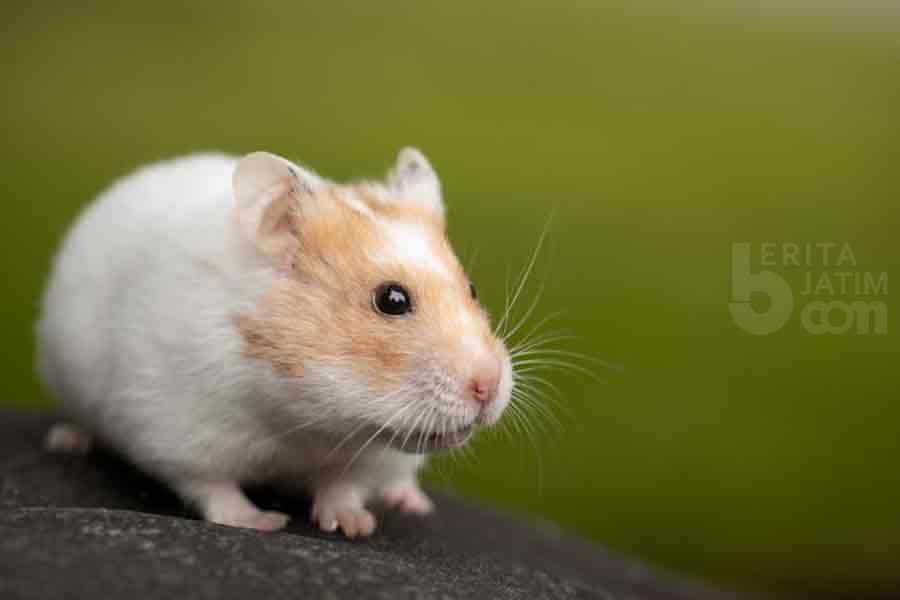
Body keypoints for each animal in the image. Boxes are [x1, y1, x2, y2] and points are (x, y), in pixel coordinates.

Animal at [36, 148, 513, 537]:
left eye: (472, 289)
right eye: (391, 300)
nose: (488, 387)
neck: (305, 417)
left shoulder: (369, 456)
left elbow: (344, 486)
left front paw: (355, 526)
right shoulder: (177, 430)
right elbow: (213, 488)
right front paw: (264, 522)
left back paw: (410, 501)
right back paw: (68, 441)